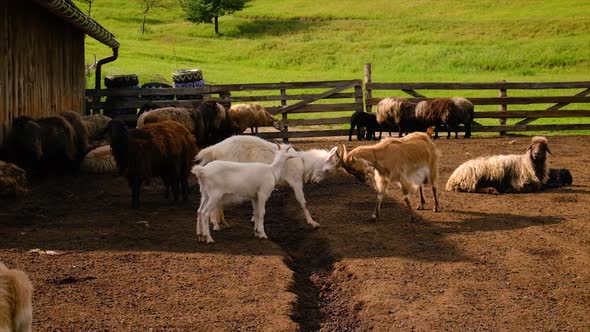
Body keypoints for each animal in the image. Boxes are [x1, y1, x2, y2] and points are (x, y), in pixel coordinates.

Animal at [195, 135, 342, 231]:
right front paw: (313, 222)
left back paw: (223, 222)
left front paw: (254, 219)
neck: (302, 161)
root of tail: (214, 149)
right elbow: (302, 202)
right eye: (327, 170)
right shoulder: (295, 181)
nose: (315, 182)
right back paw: (216, 224)